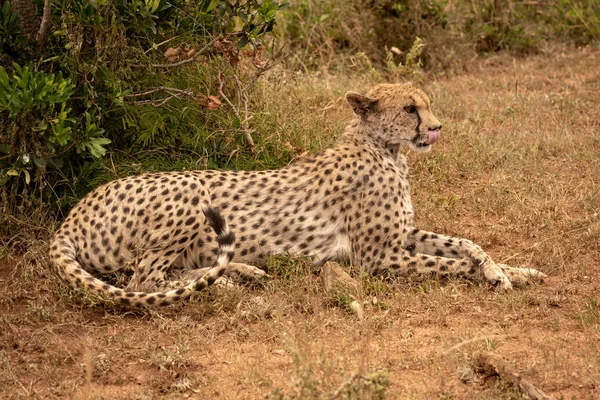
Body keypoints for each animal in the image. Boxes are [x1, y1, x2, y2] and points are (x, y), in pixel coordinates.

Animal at [49, 80, 548, 306]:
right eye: (410, 108)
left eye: (426, 103)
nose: (438, 128)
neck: (384, 148)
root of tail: (73, 213)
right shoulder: (377, 258)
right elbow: (451, 263)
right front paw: (488, 276)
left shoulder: (401, 236)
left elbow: (467, 243)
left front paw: (514, 271)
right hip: (190, 187)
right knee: (142, 280)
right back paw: (228, 283)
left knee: (161, 274)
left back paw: (243, 273)